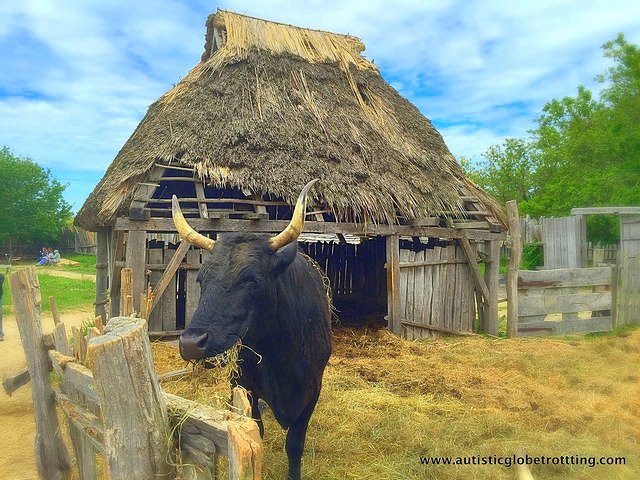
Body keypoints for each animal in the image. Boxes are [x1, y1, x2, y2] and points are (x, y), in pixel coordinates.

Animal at [173, 179, 332, 480]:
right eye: (201, 279)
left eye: (253, 280)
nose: (190, 342)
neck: (281, 354)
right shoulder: (245, 385)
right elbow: (256, 429)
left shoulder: (312, 390)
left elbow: (295, 443)